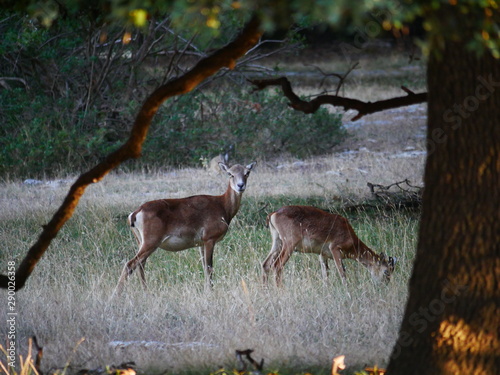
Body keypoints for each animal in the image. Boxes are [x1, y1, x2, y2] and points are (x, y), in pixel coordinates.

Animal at [115, 162, 256, 294]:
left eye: (247, 173)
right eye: (230, 174)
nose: (240, 186)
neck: (223, 207)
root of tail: (134, 214)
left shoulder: (201, 243)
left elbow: (204, 267)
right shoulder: (209, 238)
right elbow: (209, 268)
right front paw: (210, 291)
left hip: (140, 241)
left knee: (140, 265)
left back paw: (146, 292)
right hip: (150, 241)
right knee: (130, 264)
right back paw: (116, 294)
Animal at [262, 206, 398, 284]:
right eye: (386, 271)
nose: (384, 285)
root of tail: (273, 214)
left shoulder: (323, 256)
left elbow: (325, 276)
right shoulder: (335, 249)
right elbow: (342, 273)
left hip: (277, 243)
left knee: (266, 264)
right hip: (289, 245)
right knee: (277, 266)